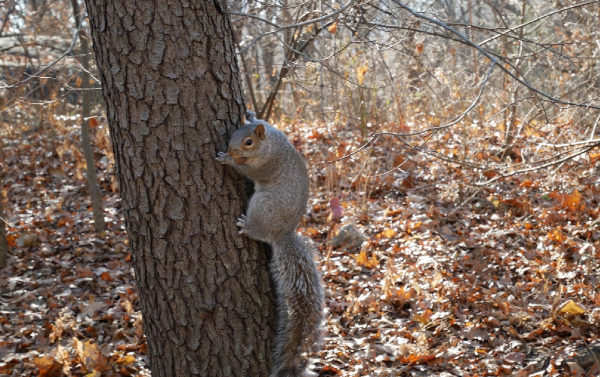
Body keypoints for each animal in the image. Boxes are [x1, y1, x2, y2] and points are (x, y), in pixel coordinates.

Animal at [216, 109, 324, 376]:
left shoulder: (266, 165)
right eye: (234, 133)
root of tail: (281, 234)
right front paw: (251, 114)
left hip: (262, 206)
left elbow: (247, 171)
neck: (270, 144)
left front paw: (228, 160)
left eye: (248, 142)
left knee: (258, 231)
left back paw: (247, 226)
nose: (231, 150)